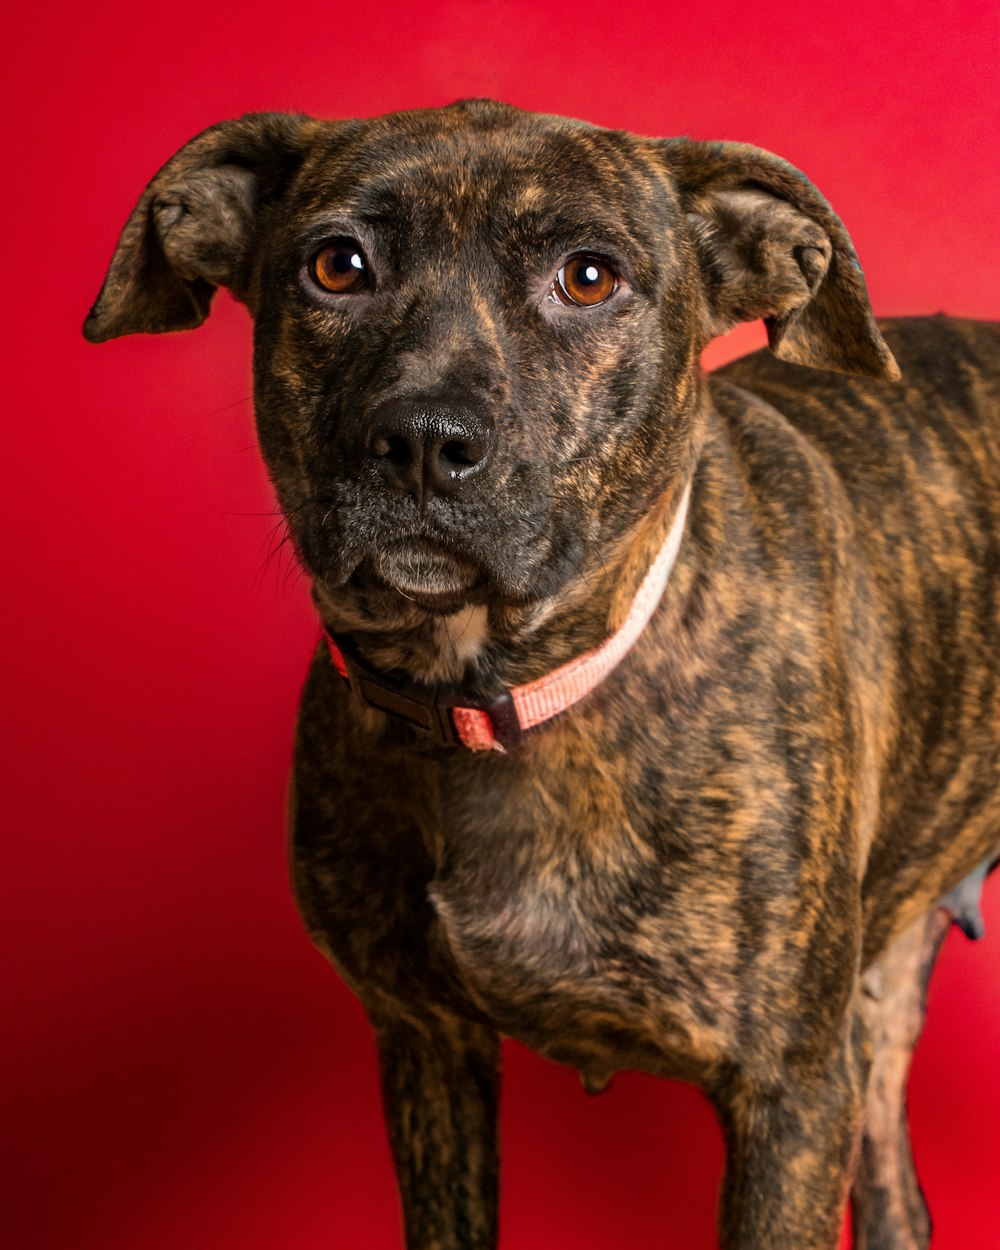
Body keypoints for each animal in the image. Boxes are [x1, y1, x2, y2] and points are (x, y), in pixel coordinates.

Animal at [88, 100, 1000, 1250]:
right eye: (337, 266)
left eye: (589, 277)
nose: (422, 440)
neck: (501, 693)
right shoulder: (427, 1043)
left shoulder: (788, 1098)